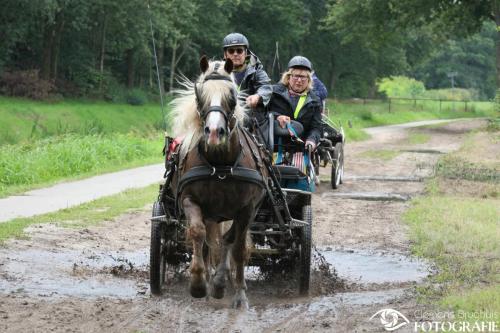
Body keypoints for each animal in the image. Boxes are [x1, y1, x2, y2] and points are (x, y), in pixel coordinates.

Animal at [169, 55, 270, 308]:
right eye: (199, 95)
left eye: (233, 96)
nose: (215, 132)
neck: (221, 164)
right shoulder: (190, 200)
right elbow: (198, 233)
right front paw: (198, 284)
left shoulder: (246, 209)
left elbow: (235, 246)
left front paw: (232, 290)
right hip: (211, 213)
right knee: (208, 242)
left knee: (229, 241)